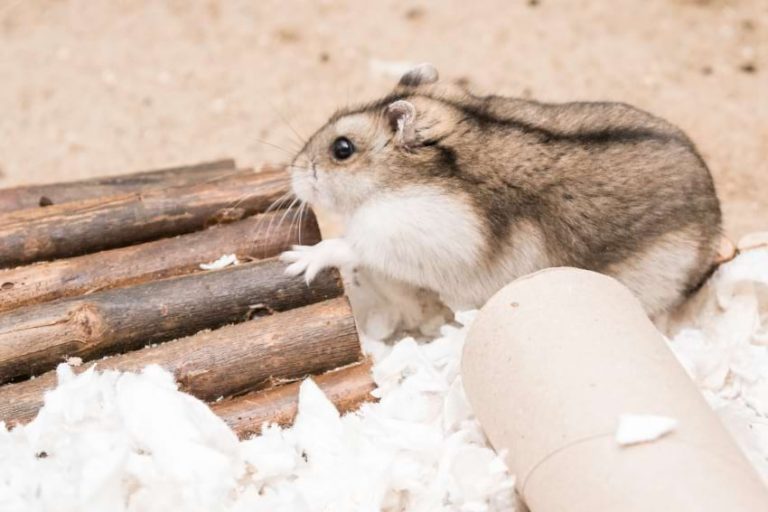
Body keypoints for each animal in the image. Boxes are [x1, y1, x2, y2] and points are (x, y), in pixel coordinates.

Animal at [280, 63, 722, 318]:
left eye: (342, 149)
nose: (293, 174)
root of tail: (715, 234)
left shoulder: (407, 235)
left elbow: (349, 245)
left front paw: (298, 260)